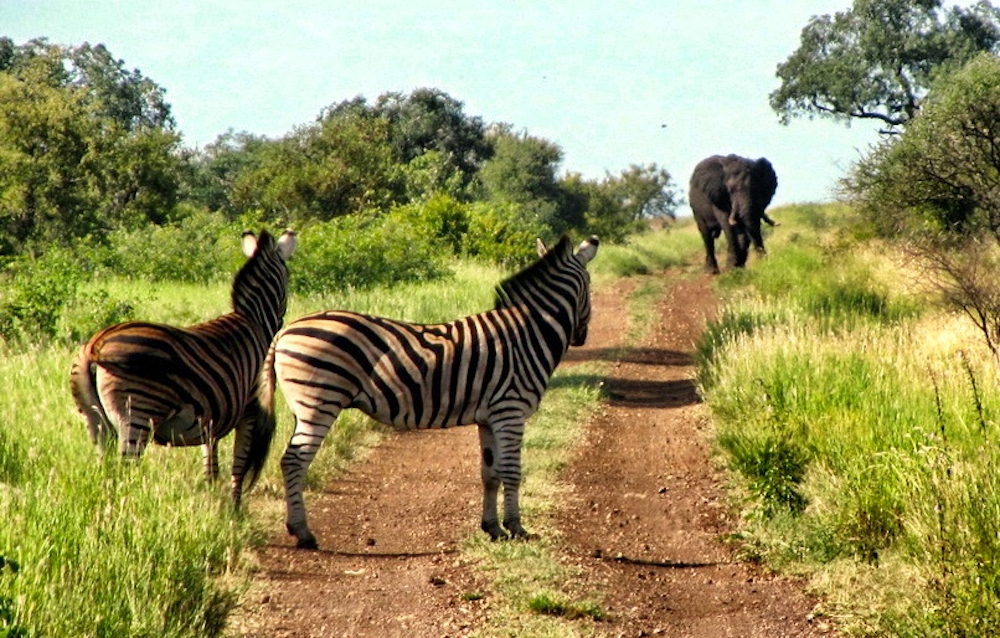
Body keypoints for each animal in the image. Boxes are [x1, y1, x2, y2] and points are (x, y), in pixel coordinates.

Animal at [69, 229, 296, 504]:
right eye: (288, 277)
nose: (283, 323)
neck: (253, 320)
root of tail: (95, 345)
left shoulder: (211, 421)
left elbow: (211, 466)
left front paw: (213, 503)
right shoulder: (249, 411)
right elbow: (238, 467)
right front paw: (235, 508)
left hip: (95, 421)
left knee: (106, 469)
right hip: (137, 415)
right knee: (125, 470)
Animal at [260, 234, 600, 552]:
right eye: (590, 286)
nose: (582, 337)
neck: (528, 333)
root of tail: (284, 331)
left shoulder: (489, 418)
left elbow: (490, 473)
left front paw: (492, 528)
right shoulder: (510, 411)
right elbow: (512, 472)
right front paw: (516, 528)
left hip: (305, 405)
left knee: (290, 461)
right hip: (319, 401)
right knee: (294, 461)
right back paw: (303, 532)